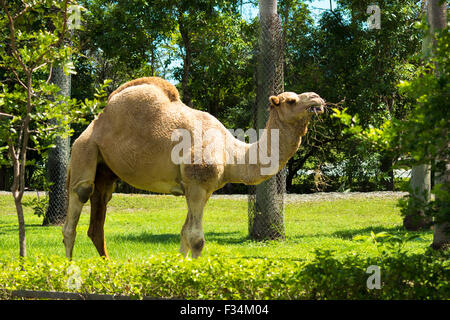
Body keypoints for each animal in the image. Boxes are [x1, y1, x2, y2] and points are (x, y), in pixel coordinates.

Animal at [61, 76, 326, 258]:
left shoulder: (201, 188)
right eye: (291, 100)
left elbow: (184, 233)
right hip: (85, 150)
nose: (318, 98)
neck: (232, 153)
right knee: (77, 206)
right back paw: (70, 270)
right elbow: (196, 238)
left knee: (99, 214)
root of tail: (94, 122)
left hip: (106, 170)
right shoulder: (197, 183)